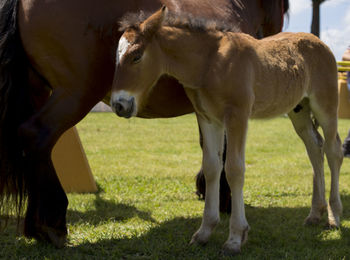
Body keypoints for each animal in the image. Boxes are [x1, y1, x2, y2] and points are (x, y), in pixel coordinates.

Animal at [0, 0, 288, 248]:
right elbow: (225, 153)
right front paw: (224, 201)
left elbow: (212, 152)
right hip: (76, 93)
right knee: (37, 135)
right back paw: (52, 222)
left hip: (39, 90)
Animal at [110, 7, 344, 255]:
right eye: (116, 57)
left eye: (137, 56)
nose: (119, 105)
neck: (210, 62)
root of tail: (321, 43)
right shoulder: (207, 118)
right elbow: (212, 167)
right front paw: (204, 232)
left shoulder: (237, 116)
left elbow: (234, 169)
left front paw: (235, 238)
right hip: (299, 110)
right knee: (315, 148)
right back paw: (315, 214)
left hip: (326, 106)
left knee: (333, 151)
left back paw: (334, 216)